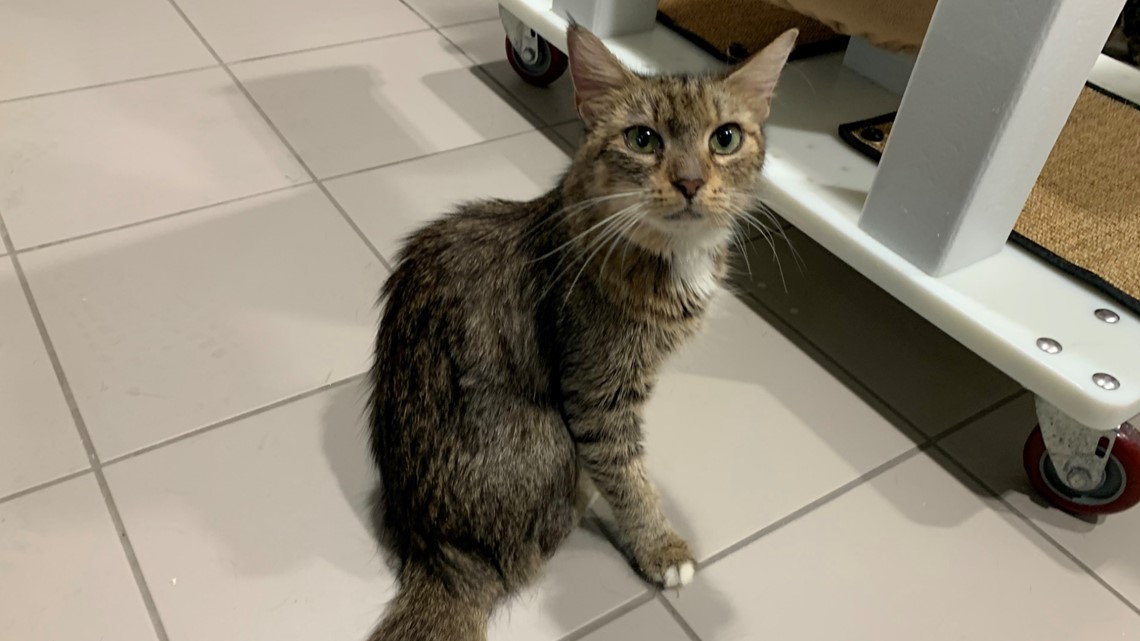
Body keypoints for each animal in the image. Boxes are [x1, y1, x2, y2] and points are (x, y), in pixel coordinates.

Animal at [362, 22, 793, 634]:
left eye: (726, 138)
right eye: (643, 139)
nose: (690, 181)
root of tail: (441, 555)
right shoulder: (597, 395)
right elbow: (628, 474)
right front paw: (660, 549)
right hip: (554, 437)